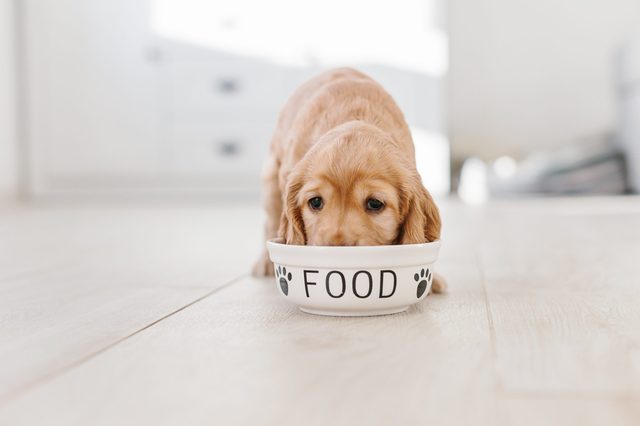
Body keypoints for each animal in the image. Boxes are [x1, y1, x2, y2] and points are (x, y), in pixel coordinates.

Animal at [252, 68, 442, 292]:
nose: (337, 248)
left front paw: (432, 280)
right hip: (271, 180)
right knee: (270, 222)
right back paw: (264, 263)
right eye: (315, 202)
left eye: (375, 203)